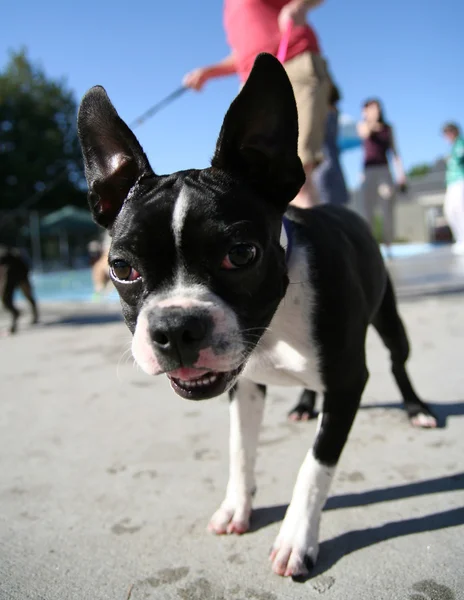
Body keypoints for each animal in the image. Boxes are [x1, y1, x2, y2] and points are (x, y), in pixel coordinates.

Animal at [78, 54, 436, 580]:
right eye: (122, 268)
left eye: (241, 254)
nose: (175, 329)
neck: (277, 323)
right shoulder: (244, 386)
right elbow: (241, 450)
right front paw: (237, 507)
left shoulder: (349, 381)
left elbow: (315, 467)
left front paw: (296, 538)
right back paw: (306, 404)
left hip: (390, 322)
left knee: (399, 361)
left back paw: (416, 409)